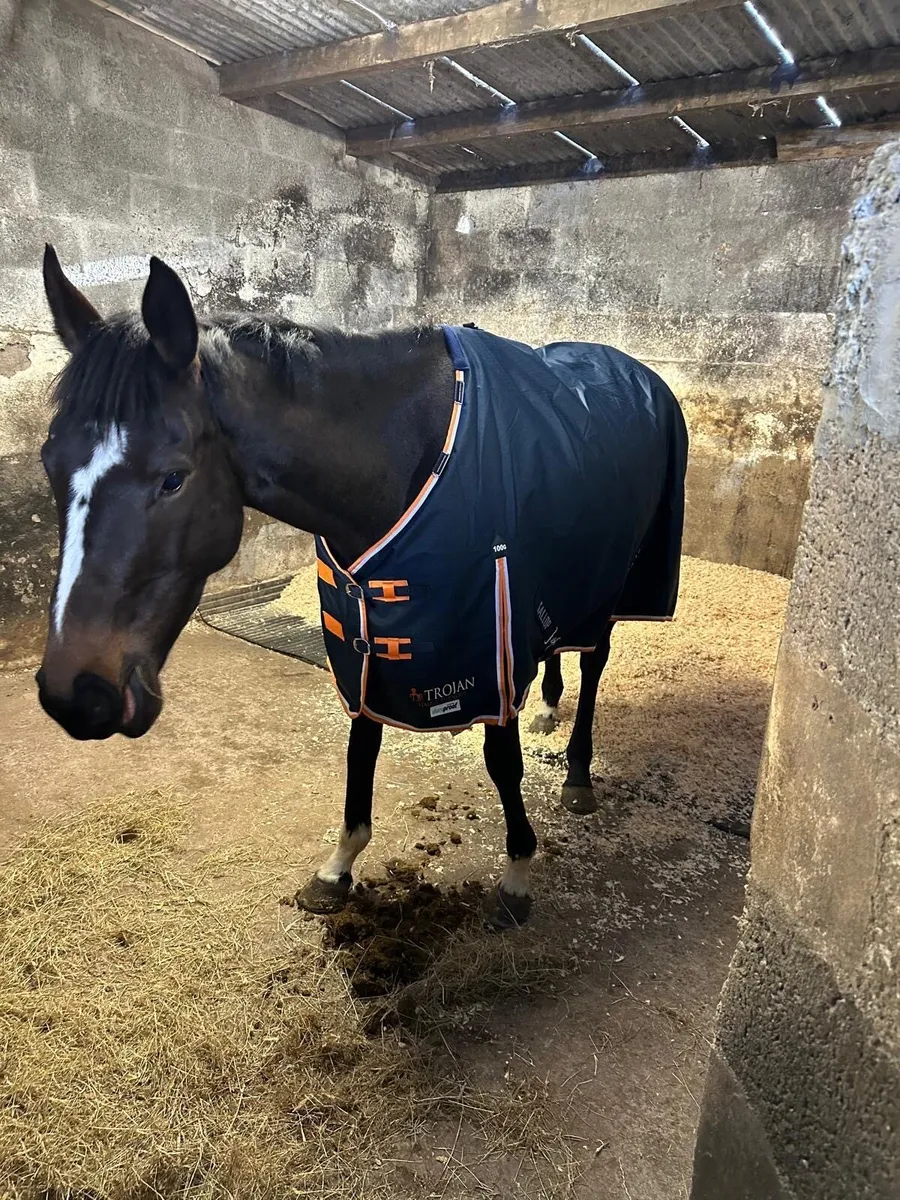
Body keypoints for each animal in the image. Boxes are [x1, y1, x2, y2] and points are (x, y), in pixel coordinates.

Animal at [35, 245, 687, 928]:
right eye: (50, 463)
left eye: (172, 478)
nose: (77, 695)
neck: (401, 456)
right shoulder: (366, 635)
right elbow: (362, 743)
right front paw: (338, 867)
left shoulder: (487, 643)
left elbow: (500, 762)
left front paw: (515, 874)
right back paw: (548, 708)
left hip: (618, 581)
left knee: (595, 661)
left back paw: (578, 774)